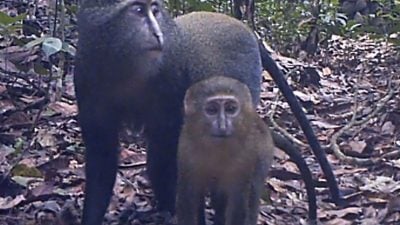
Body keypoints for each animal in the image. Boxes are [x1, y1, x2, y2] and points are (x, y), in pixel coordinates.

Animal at [177, 76, 276, 225]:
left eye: (231, 109)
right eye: (212, 110)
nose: (222, 125)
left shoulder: (248, 157)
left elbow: (239, 205)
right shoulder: (186, 151)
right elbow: (188, 200)